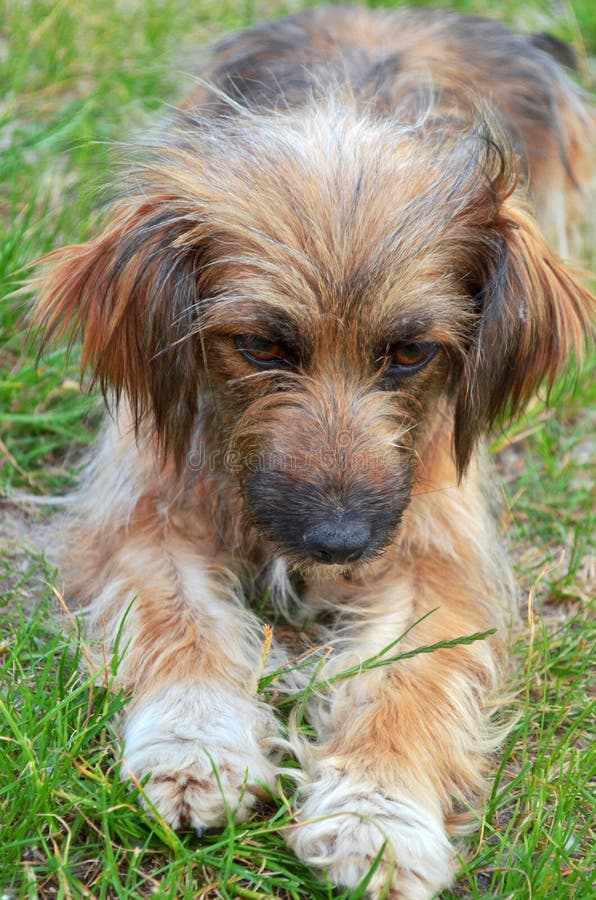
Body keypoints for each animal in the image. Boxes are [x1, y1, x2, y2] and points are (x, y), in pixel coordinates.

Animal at [33, 7, 596, 900]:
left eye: (410, 353)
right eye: (261, 346)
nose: (338, 543)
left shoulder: (434, 547)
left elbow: (406, 678)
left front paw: (378, 814)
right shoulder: (146, 506)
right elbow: (180, 615)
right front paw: (196, 746)